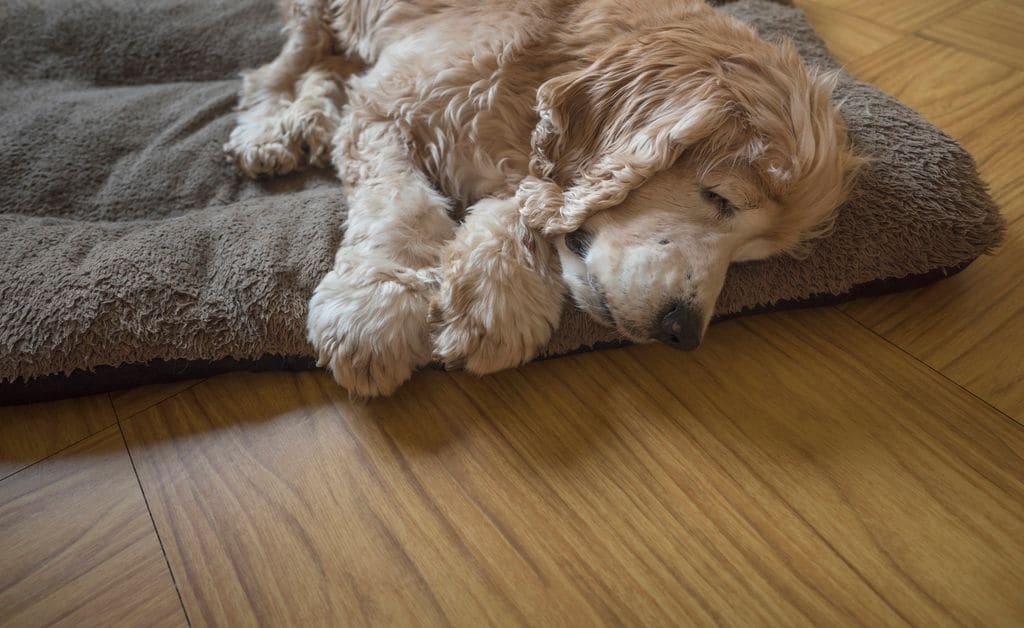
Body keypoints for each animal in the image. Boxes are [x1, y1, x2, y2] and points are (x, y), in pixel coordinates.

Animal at [226, 0, 864, 397]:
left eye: (749, 258)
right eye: (720, 196)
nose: (682, 332)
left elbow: (528, 200)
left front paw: (496, 299)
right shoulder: (385, 110)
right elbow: (401, 205)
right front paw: (376, 309)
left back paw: (307, 118)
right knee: (278, 69)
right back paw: (271, 130)